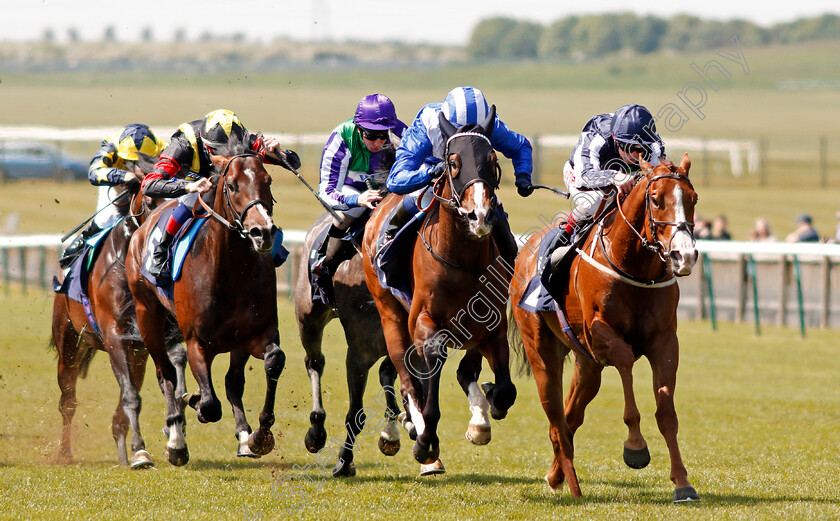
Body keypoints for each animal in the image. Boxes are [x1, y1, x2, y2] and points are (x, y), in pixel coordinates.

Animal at [52, 159, 187, 468]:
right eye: (149, 200)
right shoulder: (115, 336)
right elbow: (131, 397)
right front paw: (141, 451)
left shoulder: (154, 338)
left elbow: (172, 374)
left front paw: (174, 435)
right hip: (69, 343)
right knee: (68, 401)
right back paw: (65, 453)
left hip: (137, 355)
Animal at [124, 150, 282, 464]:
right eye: (231, 185)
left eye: (268, 180)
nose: (263, 232)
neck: (231, 272)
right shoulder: (196, 341)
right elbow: (209, 405)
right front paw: (194, 400)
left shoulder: (256, 334)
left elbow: (273, 360)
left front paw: (259, 435)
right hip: (147, 314)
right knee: (166, 375)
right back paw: (176, 440)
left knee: (232, 382)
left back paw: (243, 436)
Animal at [294, 211, 406, 476]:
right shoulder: (359, 354)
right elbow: (356, 415)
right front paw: (343, 462)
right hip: (309, 319)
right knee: (315, 362)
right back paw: (316, 430)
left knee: (386, 372)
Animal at [362, 105, 520, 472]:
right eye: (453, 161)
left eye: (492, 159)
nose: (480, 215)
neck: (461, 261)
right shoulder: (422, 321)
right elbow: (433, 359)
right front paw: (425, 442)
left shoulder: (491, 324)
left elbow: (504, 389)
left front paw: (485, 409)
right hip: (390, 315)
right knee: (406, 380)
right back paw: (413, 432)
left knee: (461, 373)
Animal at [512, 153, 704, 500]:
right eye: (656, 199)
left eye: (693, 198)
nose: (684, 256)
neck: (636, 267)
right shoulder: (601, 333)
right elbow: (626, 363)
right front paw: (635, 447)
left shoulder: (665, 341)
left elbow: (666, 410)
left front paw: (683, 482)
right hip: (541, 351)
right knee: (555, 416)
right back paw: (571, 482)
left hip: (586, 364)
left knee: (571, 416)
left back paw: (556, 475)